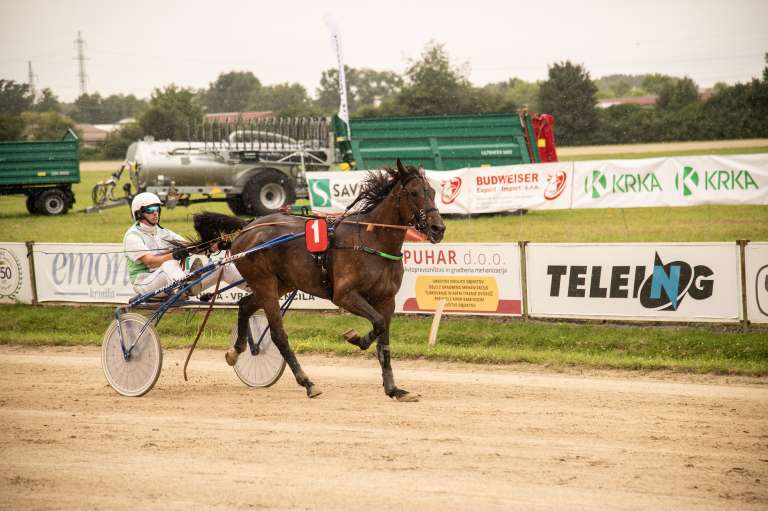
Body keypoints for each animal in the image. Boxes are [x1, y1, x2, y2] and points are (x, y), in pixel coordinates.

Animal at [188, 162, 448, 402]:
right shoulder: (344, 295)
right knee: (278, 334)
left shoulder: (387, 300)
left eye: (432, 191)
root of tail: (248, 227)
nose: (438, 228)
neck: (371, 242)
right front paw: (357, 338)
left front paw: (394, 389)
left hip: (281, 283)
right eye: (414, 193)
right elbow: (378, 324)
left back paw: (236, 351)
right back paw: (307, 383)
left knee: (245, 305)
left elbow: (383, 338)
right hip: (264, 283)